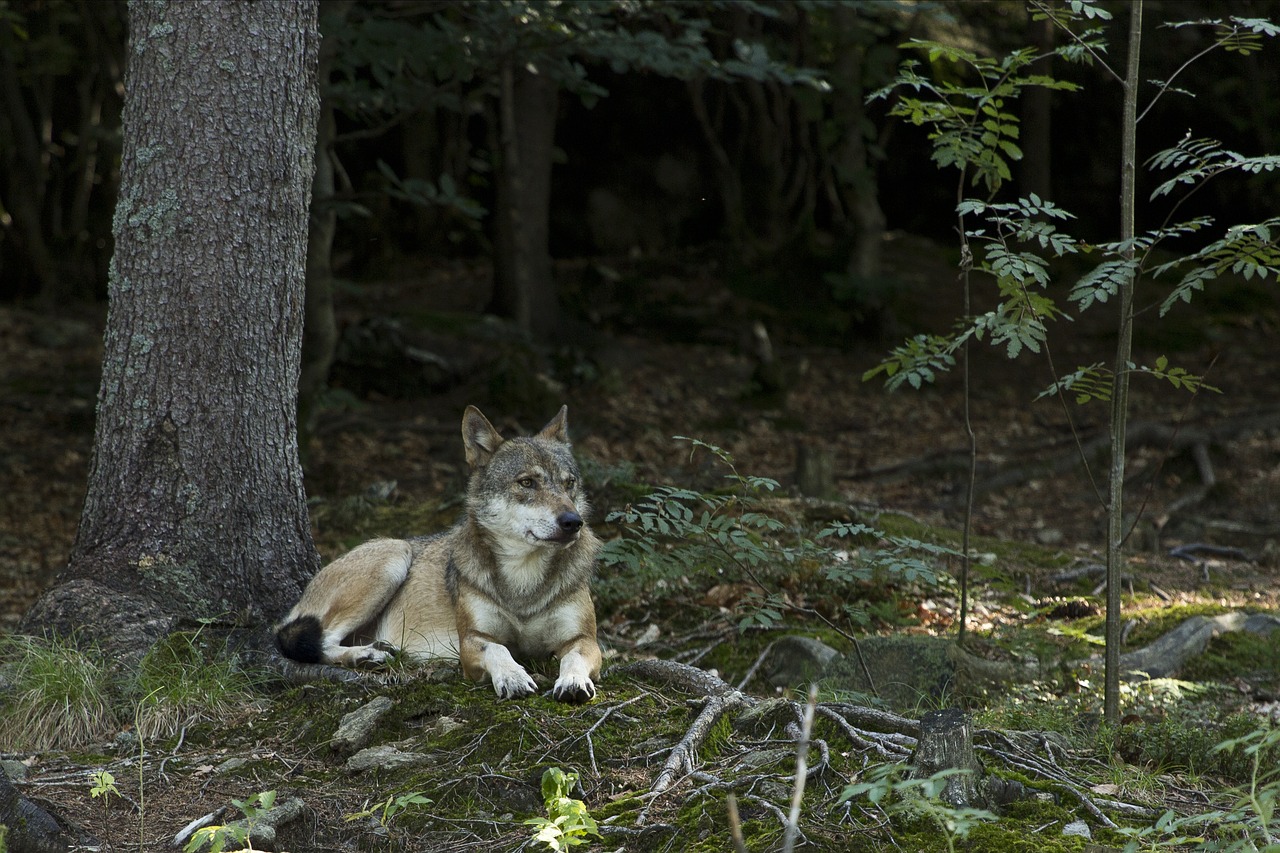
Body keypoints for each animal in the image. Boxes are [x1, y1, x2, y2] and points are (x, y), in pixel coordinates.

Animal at [273, 404, 599, 696]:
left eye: (569, 483)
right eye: (527, 482)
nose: (573, 522)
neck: (523, 582)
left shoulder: (585, 640)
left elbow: (573, 658)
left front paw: (573, 681)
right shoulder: (471, 640)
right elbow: (498, 650)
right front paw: (513, 677)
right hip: (395, 555)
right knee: (315, 641)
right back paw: (366, 655)